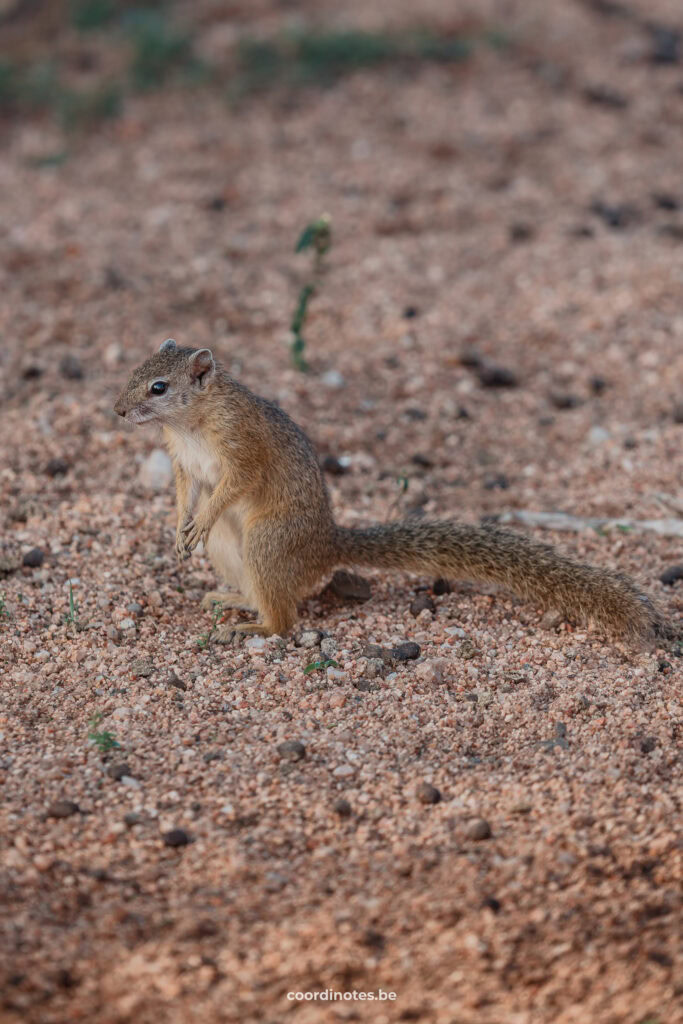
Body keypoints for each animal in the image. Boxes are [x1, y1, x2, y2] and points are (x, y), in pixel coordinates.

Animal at [113, 339, 671, 643]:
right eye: (132, 371)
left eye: (159, 387)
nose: (117, 410)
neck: (191, 423)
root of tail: (327, 546)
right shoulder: (183, 464)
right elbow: (184, 493)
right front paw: (178, 528)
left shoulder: (241, 450)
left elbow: (231, 486)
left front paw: (200, 519)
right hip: (231, 552)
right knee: (266, 595)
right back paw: (233, 599)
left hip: (265, 543)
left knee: (285, 619)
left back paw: (256, 627)